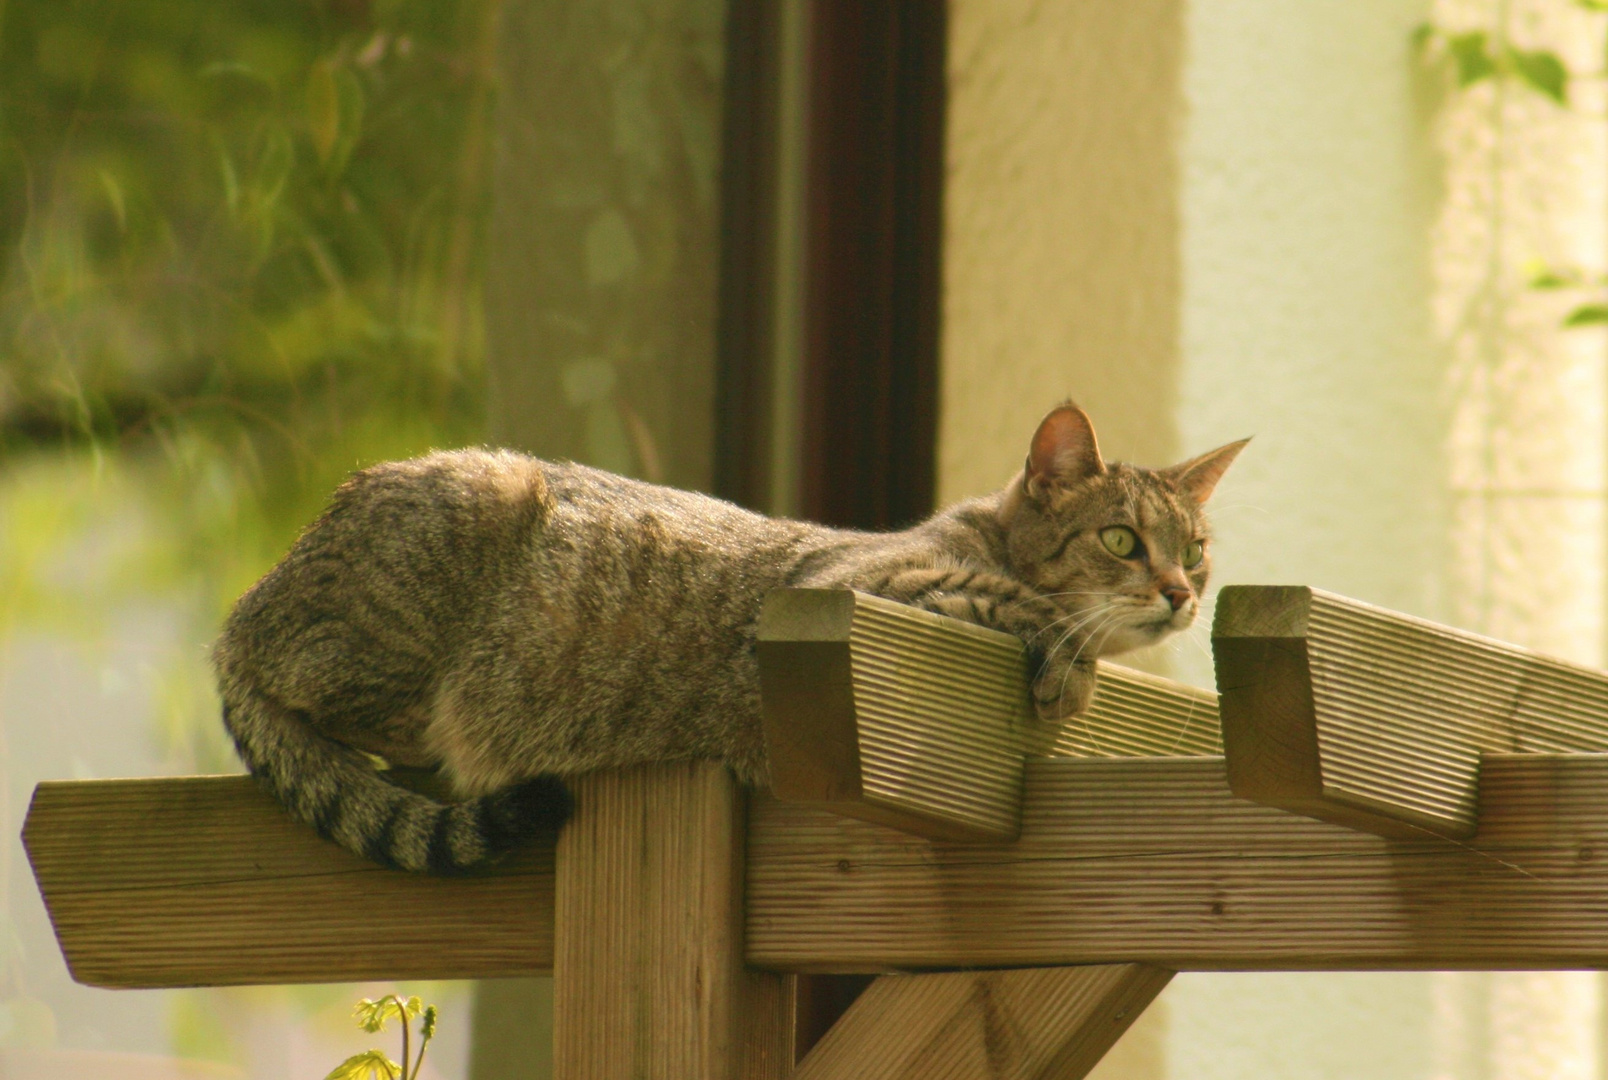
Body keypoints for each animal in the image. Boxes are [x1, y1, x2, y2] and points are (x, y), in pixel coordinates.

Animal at [213, 403, 1241, 867]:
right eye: (1122, 540)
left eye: (1196, 550)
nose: (1181, 593)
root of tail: (244, 609)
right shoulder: (852, 585)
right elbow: (1025, 607)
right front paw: (1071, 663)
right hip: (462, 540)